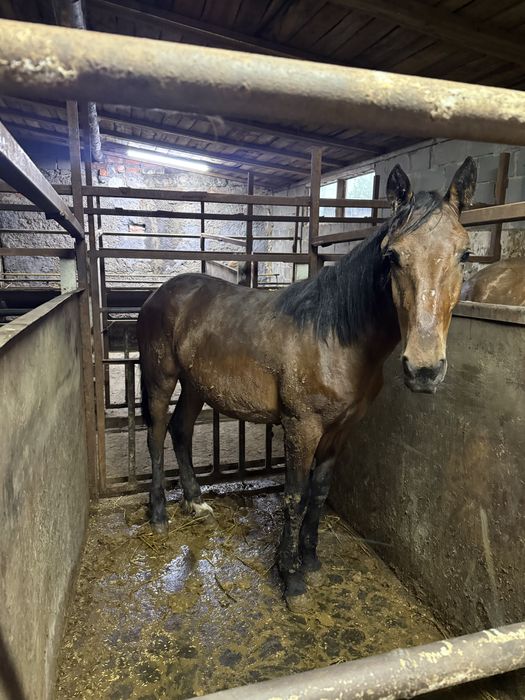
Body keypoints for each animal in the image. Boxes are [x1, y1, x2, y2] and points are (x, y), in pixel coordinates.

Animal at [137, 157, 477, 601]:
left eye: (465, 254)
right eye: (392, 256)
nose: (424, 369)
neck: (334, 337)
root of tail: (160, 293)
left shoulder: (340, 429)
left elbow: (319, 493)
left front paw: (311, 559)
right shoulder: (302, 427)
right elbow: (294, 497)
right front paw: (290, 577)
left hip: (197, 386)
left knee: (181, 431)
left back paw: (196, 503)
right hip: (161, 378)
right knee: (157, 434)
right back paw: (159, 513)